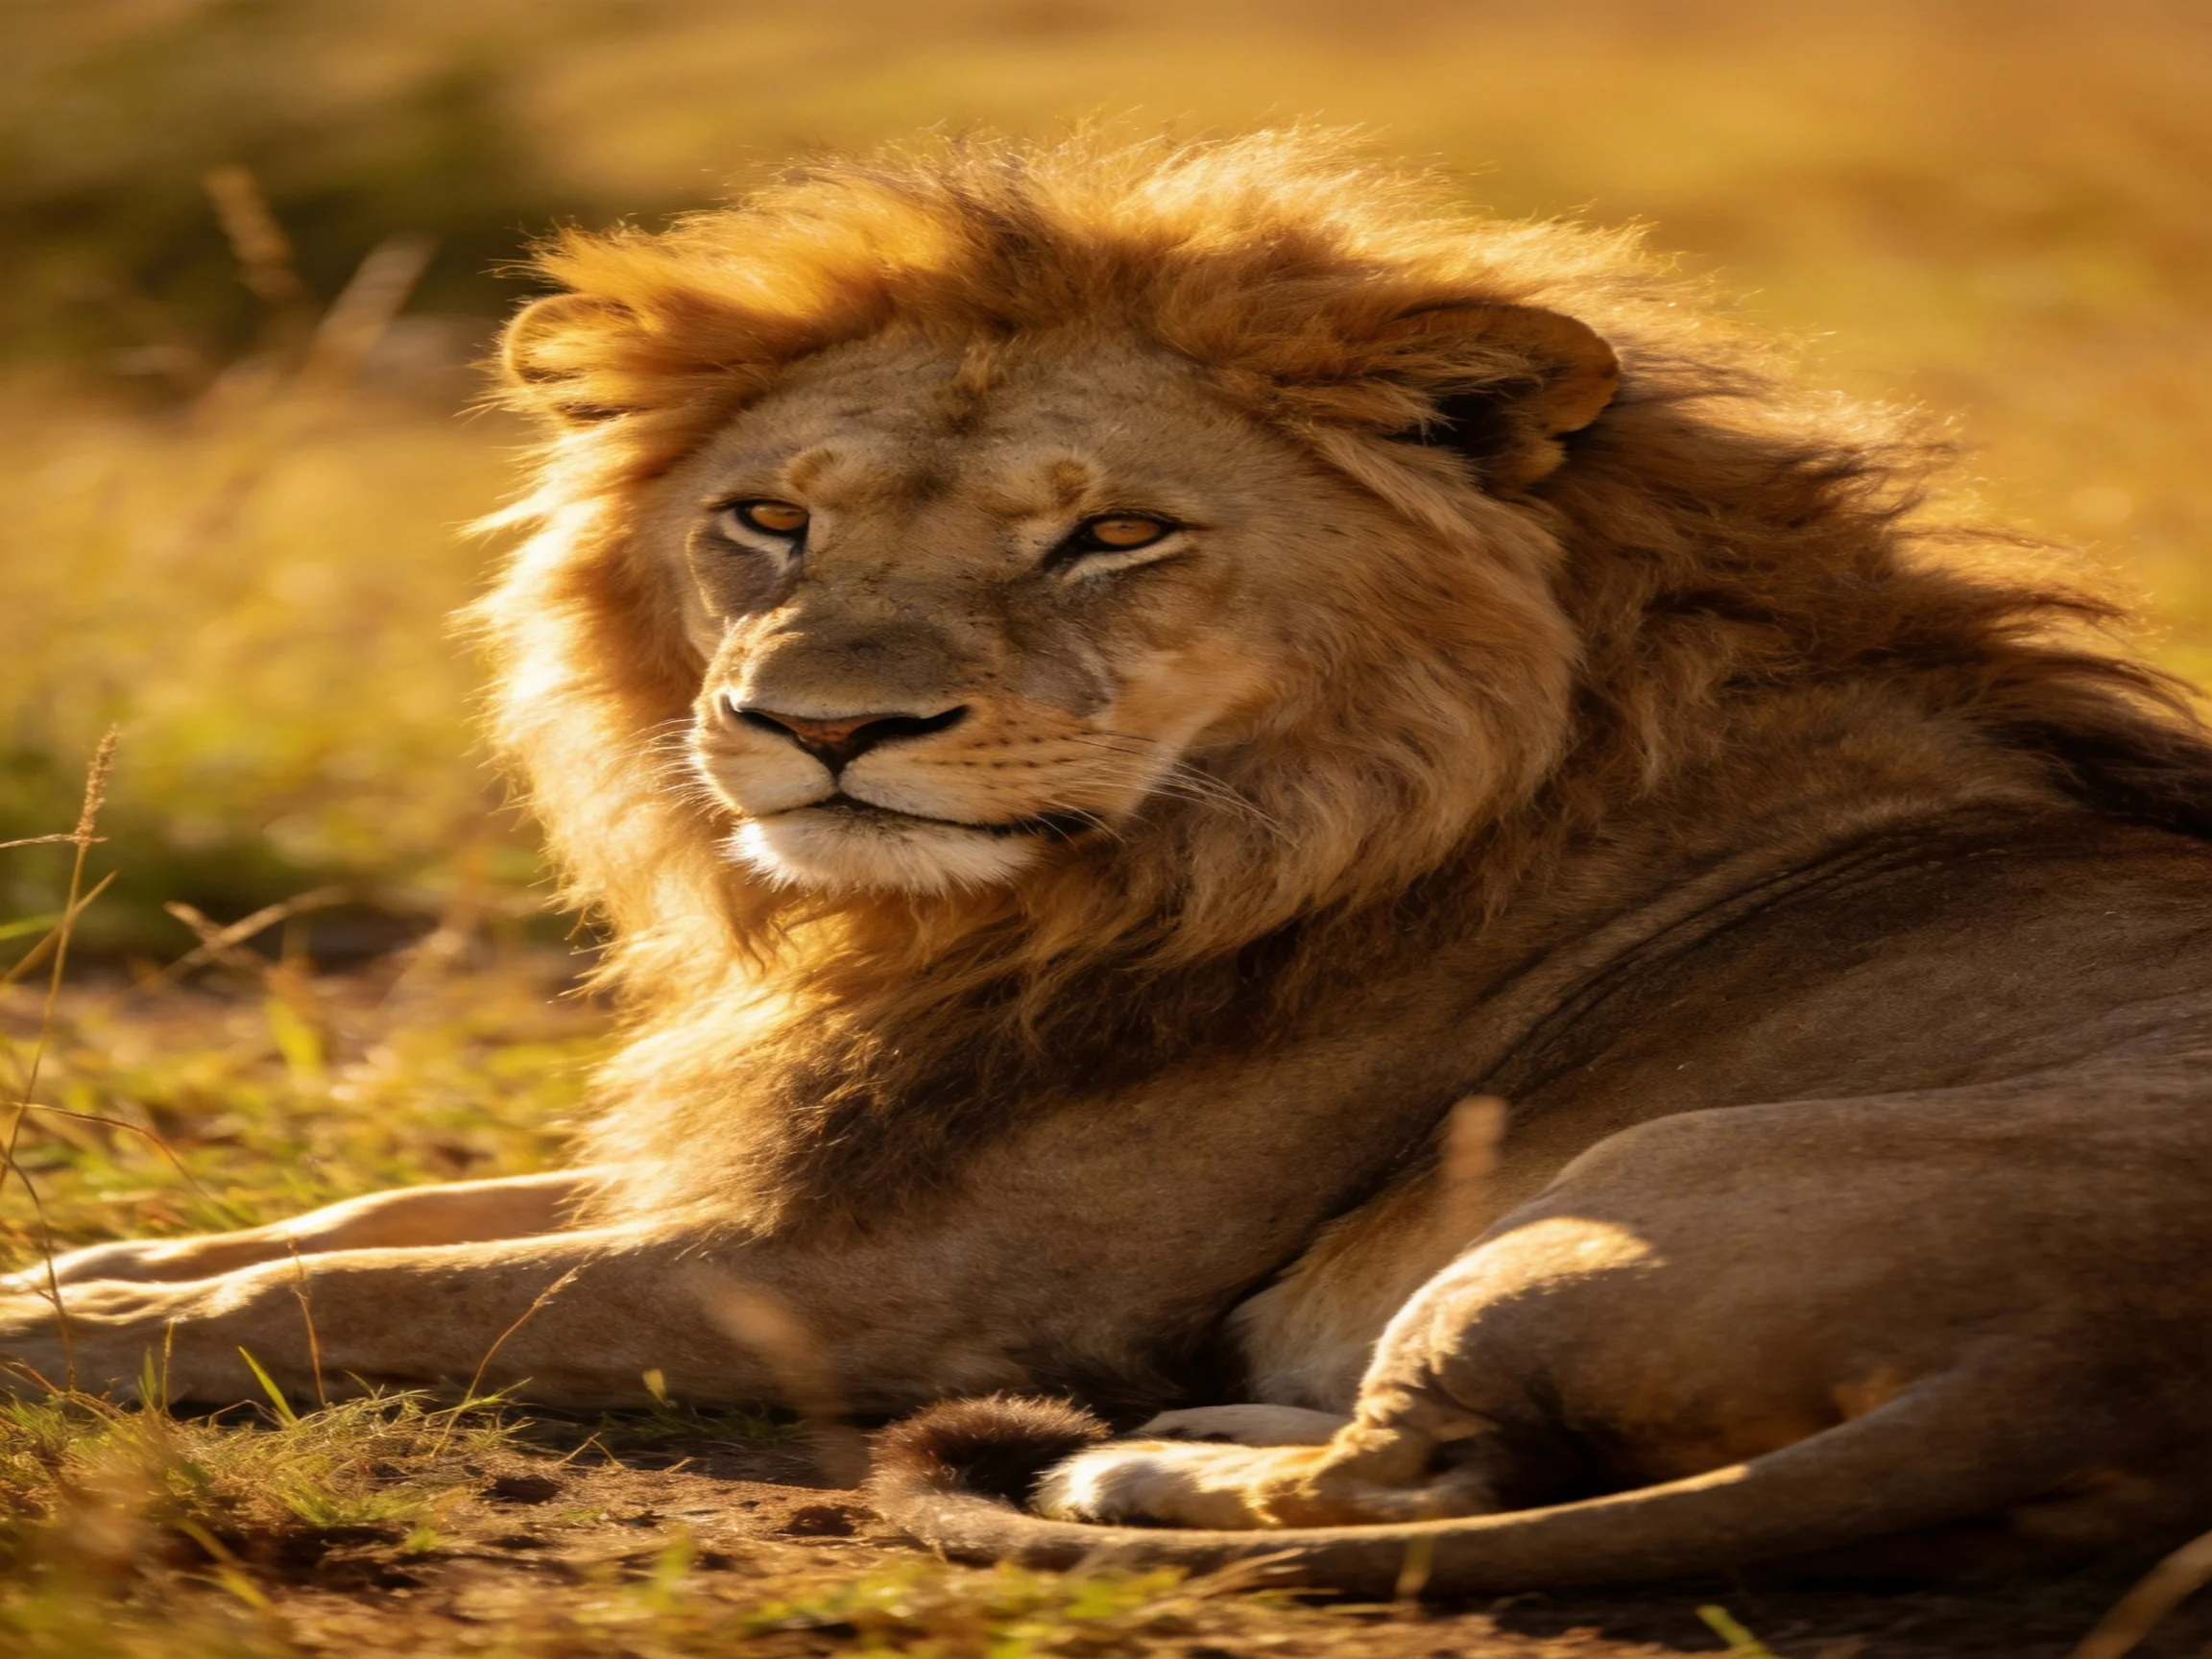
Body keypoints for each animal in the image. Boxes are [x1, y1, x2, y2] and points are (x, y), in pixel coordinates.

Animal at [7, 130, 2212, 1592]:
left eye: (1113, 535)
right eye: (768, 520)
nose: (821, 724)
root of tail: (2087, 1361)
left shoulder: (899, 1279)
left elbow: (335, 1292)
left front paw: (59, 1326)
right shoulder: (813, 1163)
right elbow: (360, 1219)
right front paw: (81, 1256)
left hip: (1646, 1173)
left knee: (1399, 1490)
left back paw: (1129, 1473)